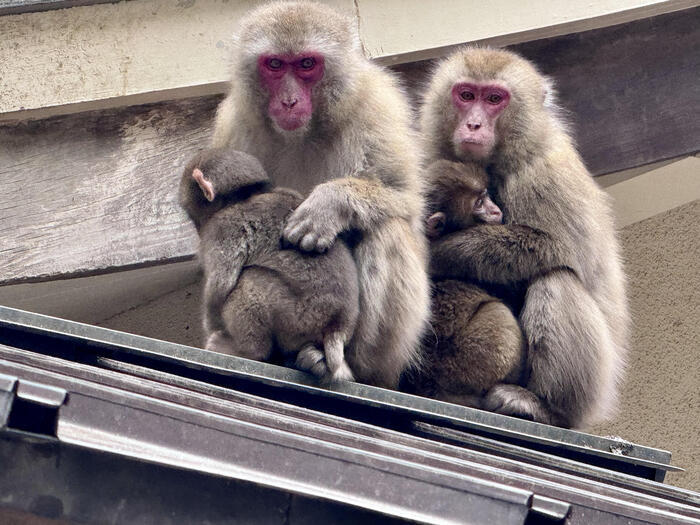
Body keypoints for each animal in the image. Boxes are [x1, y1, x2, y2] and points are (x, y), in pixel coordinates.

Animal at [178, 147, 358, 380]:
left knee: (248, 281)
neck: (246, 197)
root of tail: (337, 326)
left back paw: (249, 351)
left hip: (298, 318)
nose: (197, 228)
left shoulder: (222, 228)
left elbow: (220, 288)